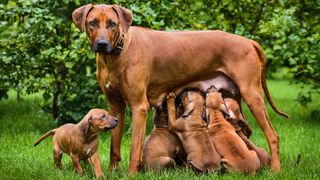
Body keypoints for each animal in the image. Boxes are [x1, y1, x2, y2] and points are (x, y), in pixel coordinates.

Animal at [72, 3, 288, 173]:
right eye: (92, 22)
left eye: (112, 23)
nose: (102, 44)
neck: (116, 54)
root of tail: (248, 41)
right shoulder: (115, 106)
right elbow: (114, 147)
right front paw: (112, 171)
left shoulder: (139, 107)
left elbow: (134, 148)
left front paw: (132, 174)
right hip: (234, 100)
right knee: (246, 130)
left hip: (252, 95)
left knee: (273, 136)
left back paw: (275, 169)